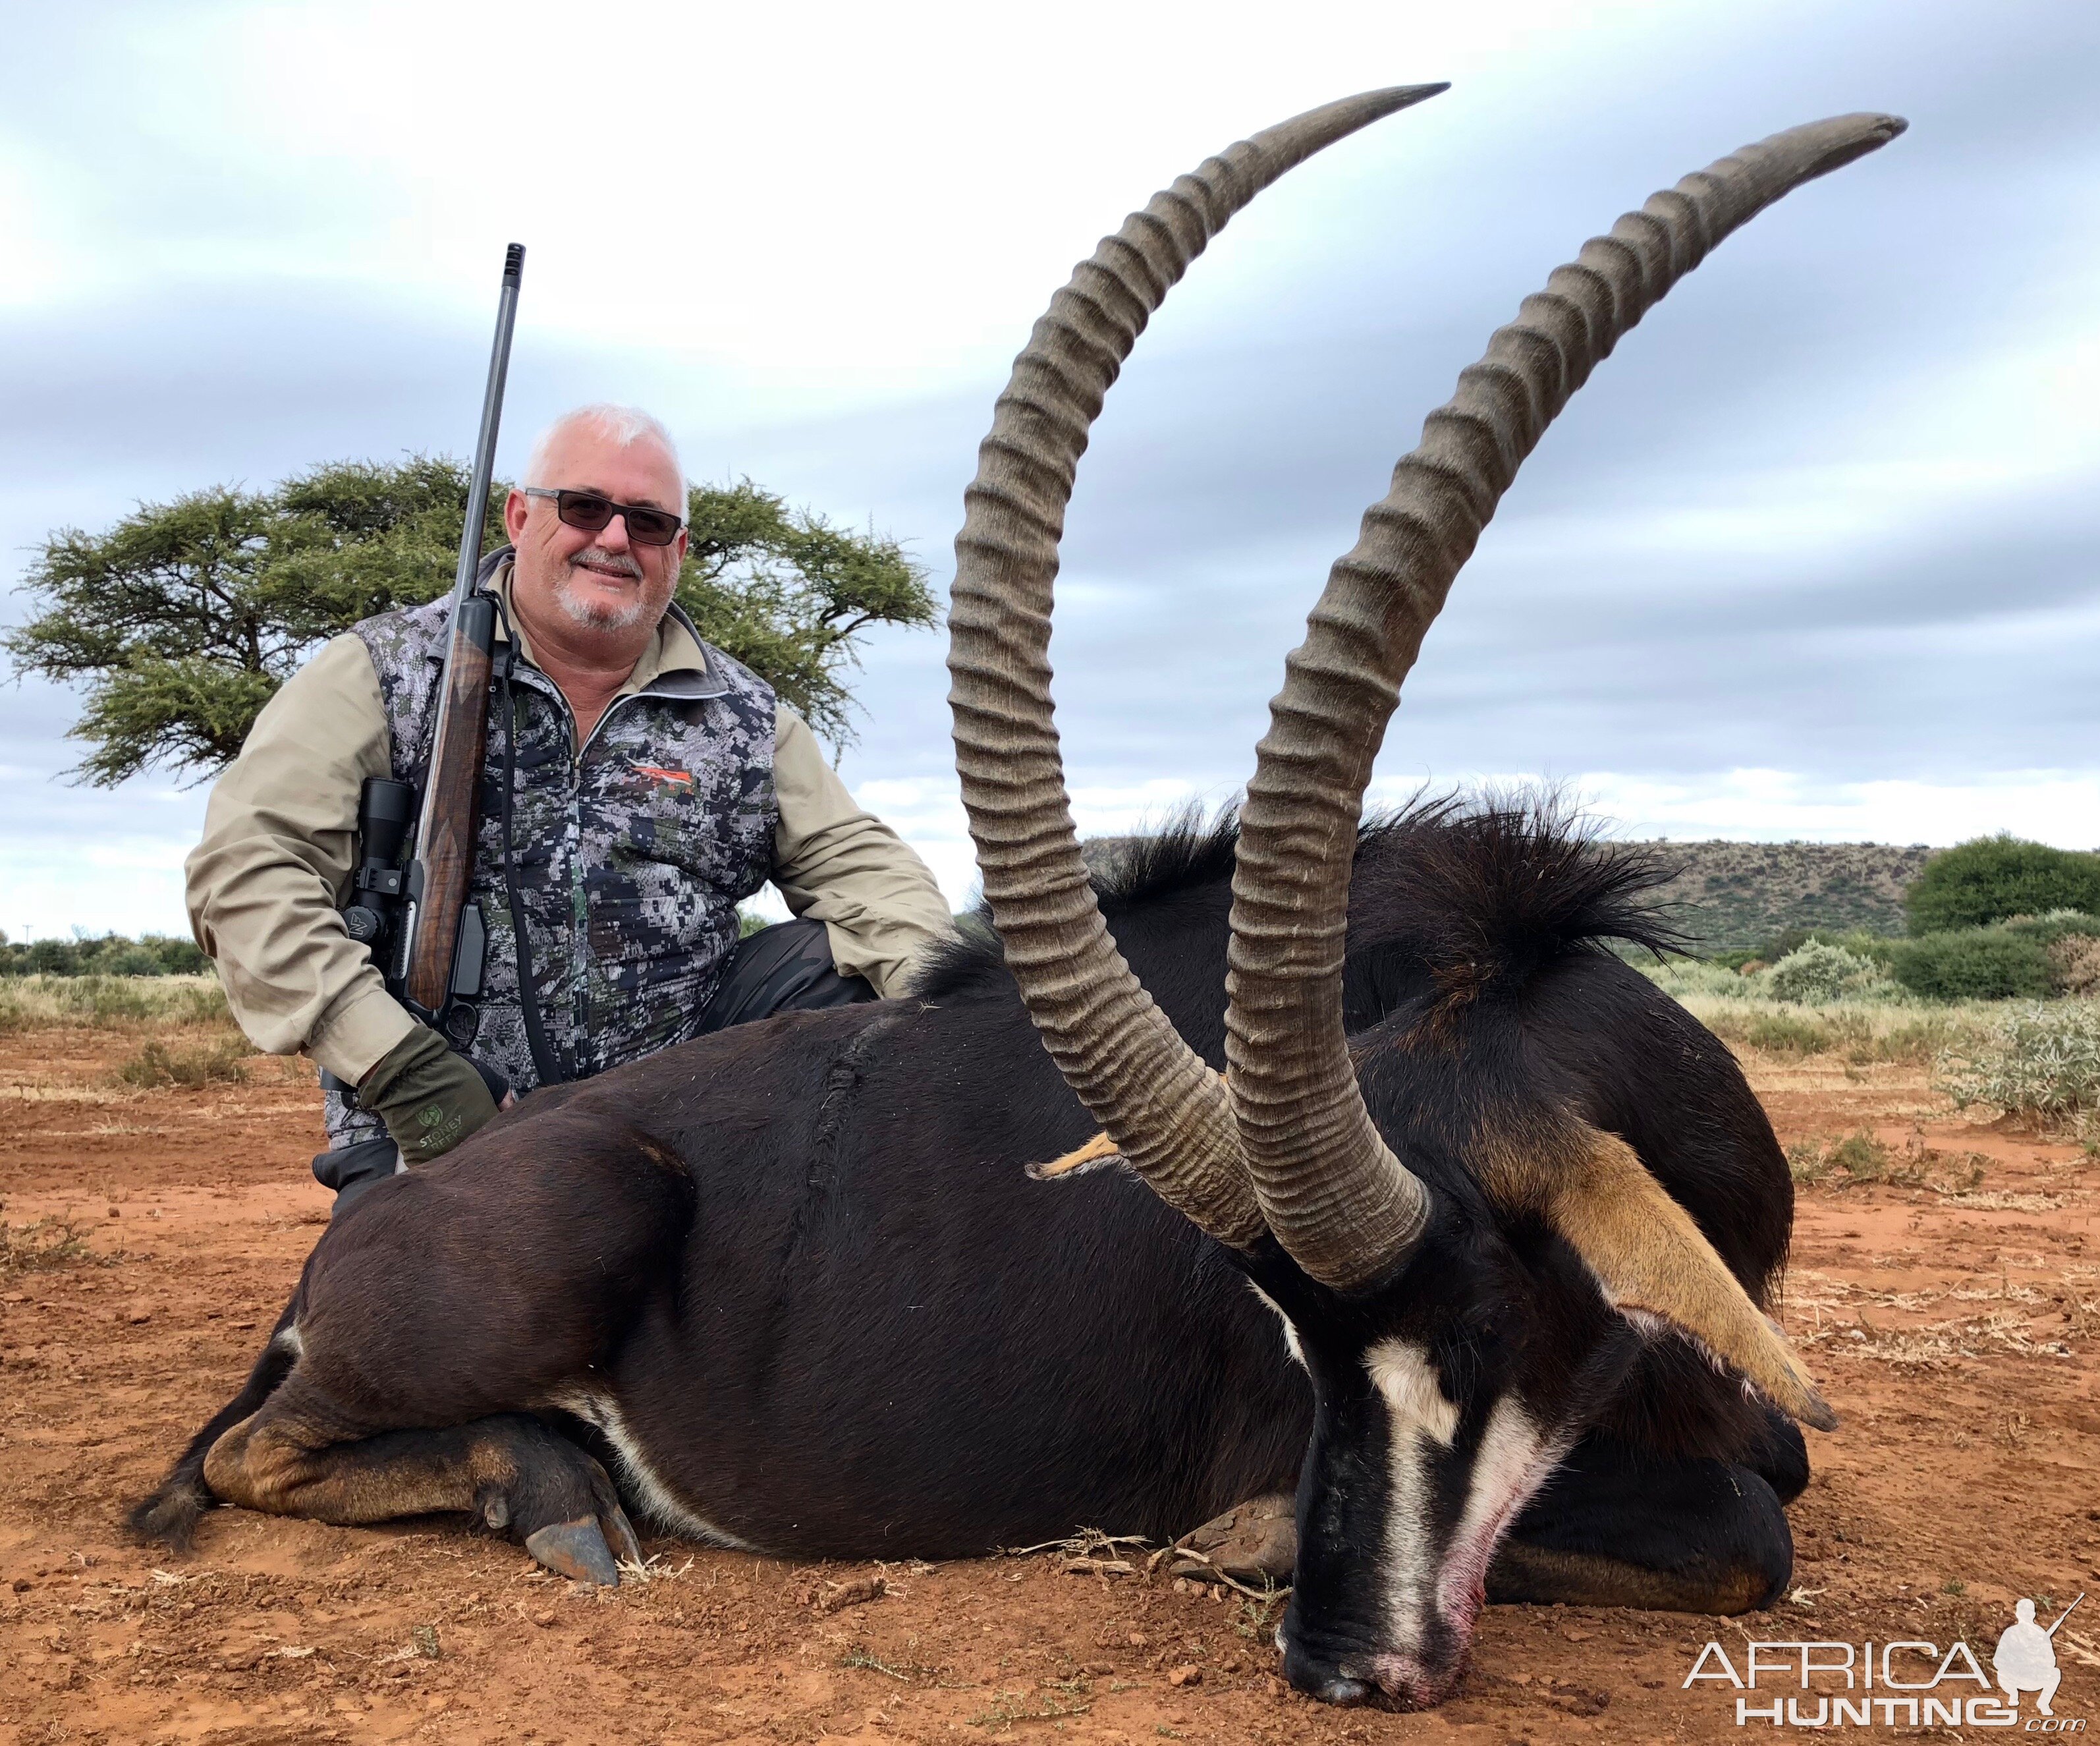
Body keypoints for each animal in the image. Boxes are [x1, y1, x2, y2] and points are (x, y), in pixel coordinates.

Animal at [135, 88, 1906, 1714]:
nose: (1342, 1664)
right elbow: (1753, 1529)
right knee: (251, 1453)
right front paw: (1250, 1536)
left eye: (1476, 1331)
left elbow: (1778, 1476)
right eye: (1297, 1342)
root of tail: (367, 1221)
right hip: (571, 1219)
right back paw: (555, 1486)